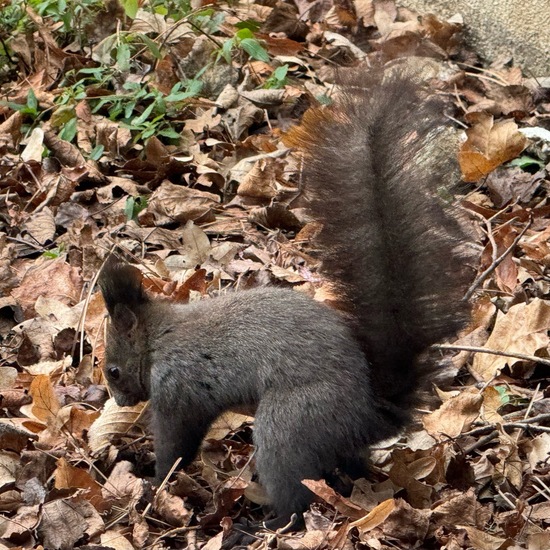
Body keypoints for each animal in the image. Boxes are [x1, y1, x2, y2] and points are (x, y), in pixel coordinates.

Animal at [97, 66, 472, 536]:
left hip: (288, 426)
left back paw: (259, 528)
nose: (119, 403)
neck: (158, 336)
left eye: (113, 368)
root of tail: (369, 414)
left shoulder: (179, 392)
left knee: (297, 498)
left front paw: (155, 478)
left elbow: (177, 443)